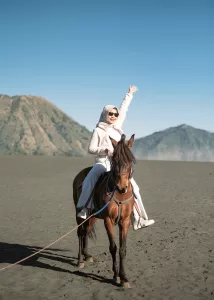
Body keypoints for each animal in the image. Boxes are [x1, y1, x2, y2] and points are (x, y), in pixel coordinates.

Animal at [73, 134, 136, 288]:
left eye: (130, 160)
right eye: (114, 160)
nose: (122, 187)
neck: (119, 195)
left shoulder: (125, 221)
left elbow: (123, 249)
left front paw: (124, 278)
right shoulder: (108, 220)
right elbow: (113, 247)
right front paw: (115, 275)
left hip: (92, 215)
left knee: (87, 231)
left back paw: (87, 255)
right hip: (79, 214)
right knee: (80, 233)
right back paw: (80, 260)